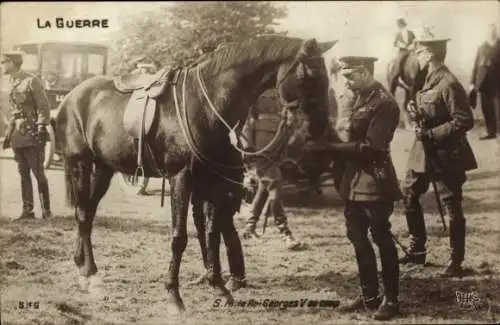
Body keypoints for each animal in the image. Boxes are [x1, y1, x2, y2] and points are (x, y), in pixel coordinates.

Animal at [54, 36, 336, 314]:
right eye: (306, 75)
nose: (320, 128)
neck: (205, 103)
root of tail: (72, 96)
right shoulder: (181, 178)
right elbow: (179, 237)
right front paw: (174, 296)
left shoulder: (213, 182)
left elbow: (211, 234)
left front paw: (219, 287)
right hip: (81, 163)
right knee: (82, 214)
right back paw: (89, 275)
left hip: (104, 168)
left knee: (89, 214)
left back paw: (85, 269)